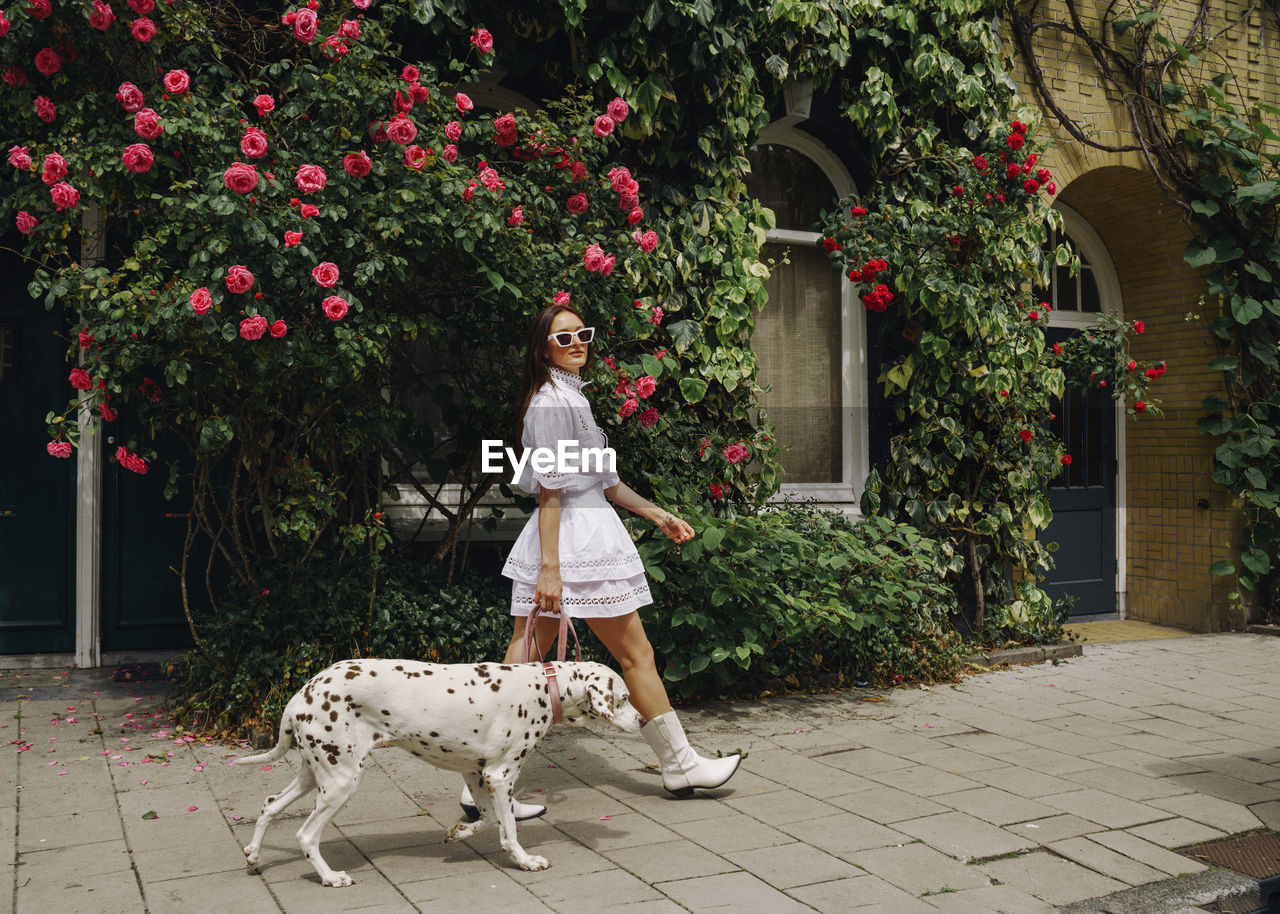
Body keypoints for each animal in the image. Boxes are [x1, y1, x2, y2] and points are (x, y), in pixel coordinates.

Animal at [235, 655, 640, 880]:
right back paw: (331, 878)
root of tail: (300, 695)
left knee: (269, 805)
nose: (640, 719)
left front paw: (459, 832)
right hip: (340, 783)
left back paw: (253, 856)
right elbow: (509, 829)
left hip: (313, 775)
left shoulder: (478, 775)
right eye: (623, 698)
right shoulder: (501, 776)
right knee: (305, 835)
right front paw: (526, 861)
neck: (546, 687)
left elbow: (490, 821)